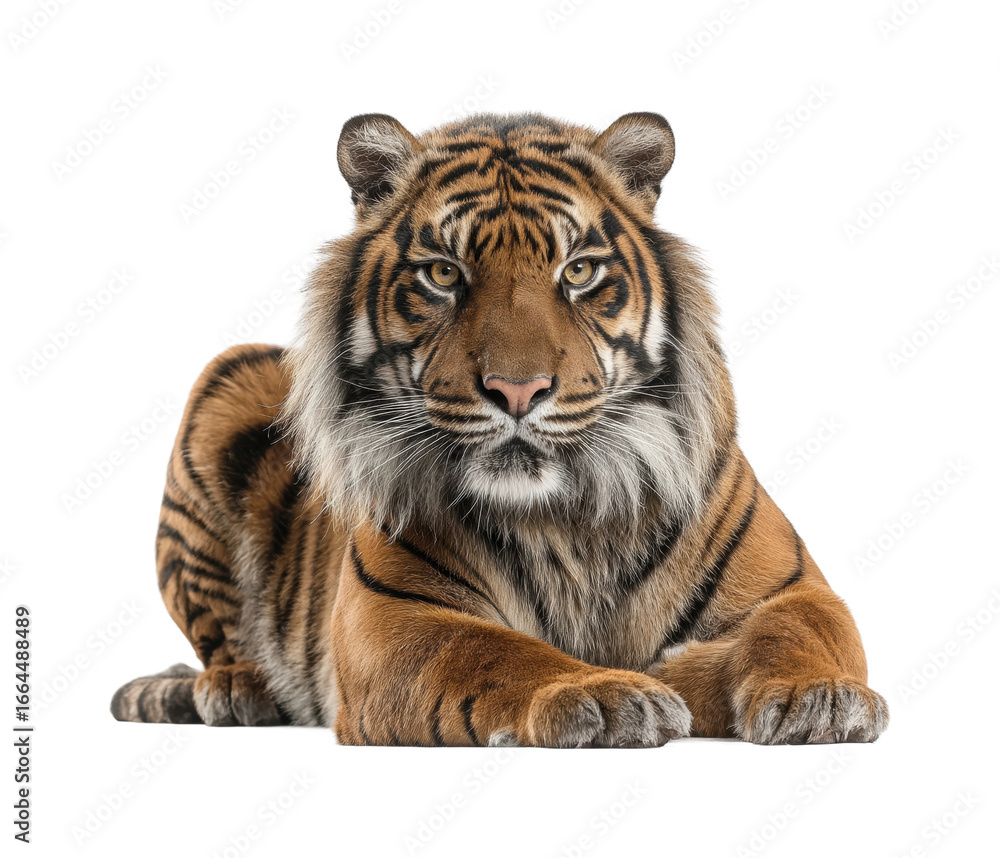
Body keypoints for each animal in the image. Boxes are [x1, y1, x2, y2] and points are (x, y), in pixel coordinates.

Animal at [111, 111, 888, 747]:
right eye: (442, 274)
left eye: (579, 270)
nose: (518, 390)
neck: (565, 517)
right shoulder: (391, 618)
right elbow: (495, 651)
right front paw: (607, 691)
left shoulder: (795, 587)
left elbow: (799, 630)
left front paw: (819, 697)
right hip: (228, 377)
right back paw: (236, 690)